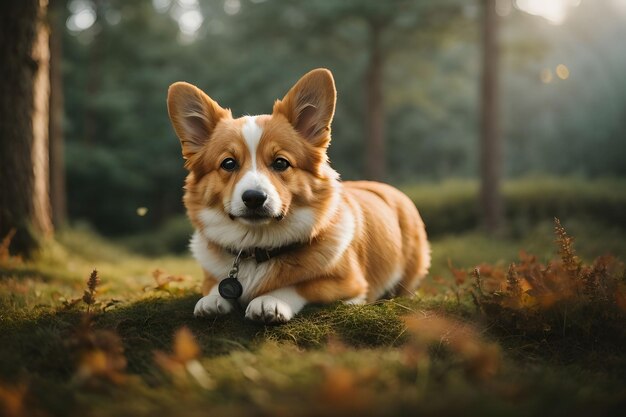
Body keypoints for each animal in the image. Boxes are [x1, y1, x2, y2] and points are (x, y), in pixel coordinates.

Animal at [166, 68, 428, 322]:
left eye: (281, 163)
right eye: (228, 163)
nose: (253, 198)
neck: (257, 247)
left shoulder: (349, 283)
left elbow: (303, 285)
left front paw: (269, 300)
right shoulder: (212, 276)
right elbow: (215, 286)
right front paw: (212, 299)